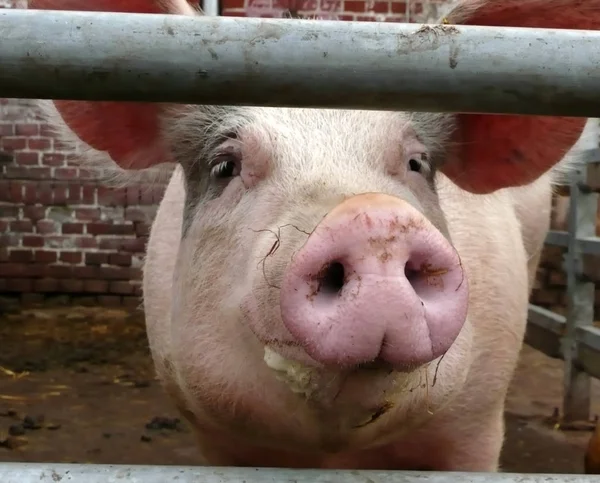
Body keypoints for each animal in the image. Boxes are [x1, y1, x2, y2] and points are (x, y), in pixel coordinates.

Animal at [30, 0, 600, 472]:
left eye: (418, 163)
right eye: (224, 166)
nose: (371, 218)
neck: (332, 455)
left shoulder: (477, 420)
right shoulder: (216, 436)